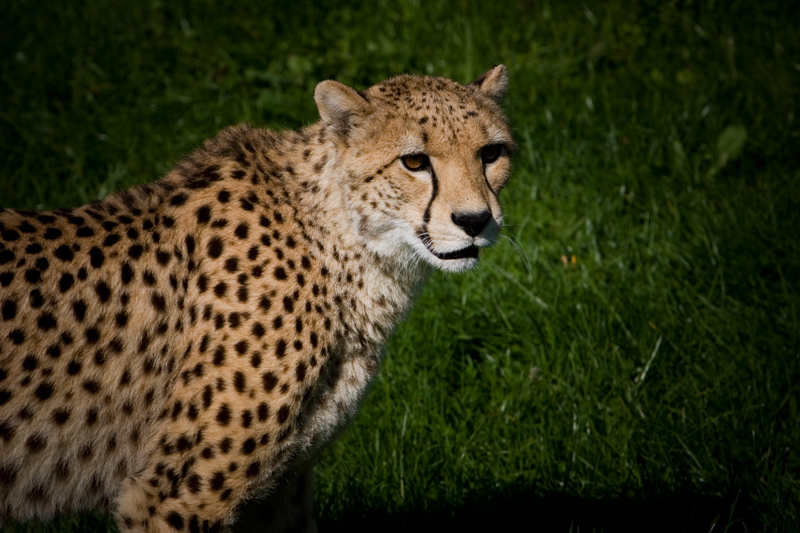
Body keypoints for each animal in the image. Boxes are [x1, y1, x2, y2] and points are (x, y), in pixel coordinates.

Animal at [0, 66, 512, 532]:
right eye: (414, 162)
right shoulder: (171, 497)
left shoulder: (281, 487)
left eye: (491, 153)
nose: (475, 220)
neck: (338, 238)